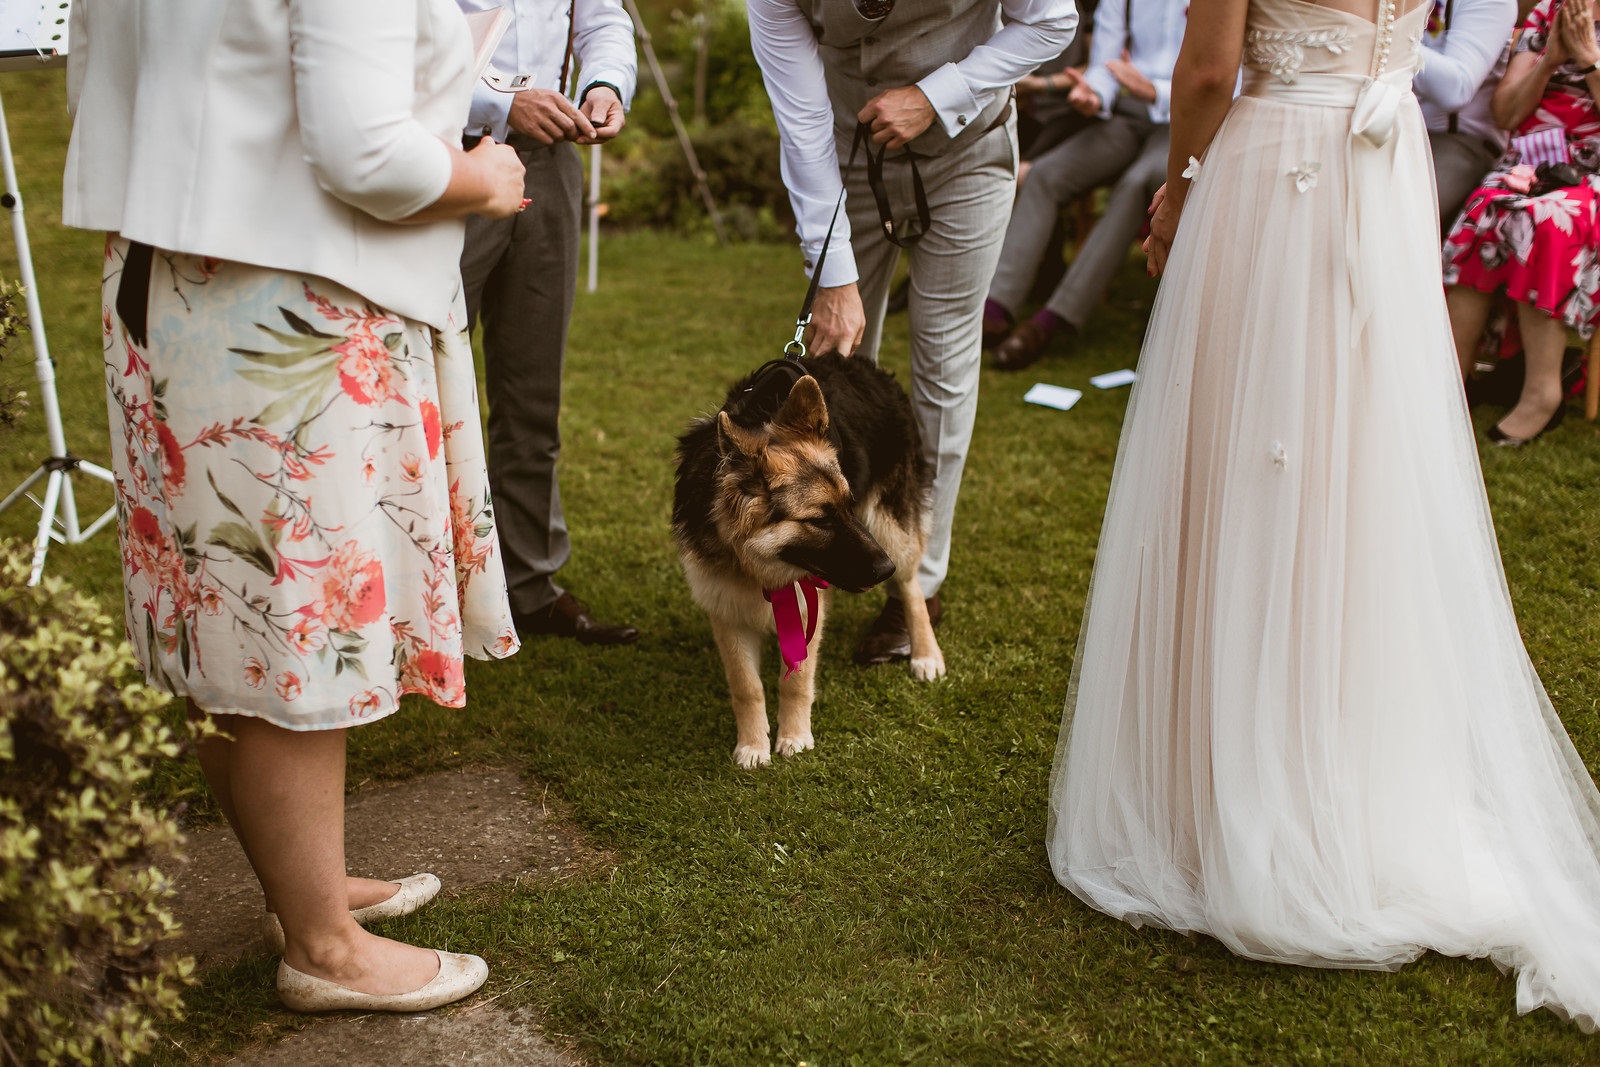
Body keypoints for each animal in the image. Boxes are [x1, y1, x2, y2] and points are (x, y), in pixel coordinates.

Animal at [672, 356, 940, 767]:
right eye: (820, 520)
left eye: (848, 506)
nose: (884, 570)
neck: (754, 564)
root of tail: (863, 365)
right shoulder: (727, 609)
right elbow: (746, 686)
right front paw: (753, 745)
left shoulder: (805, 602)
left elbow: (797, 680)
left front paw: (795, 736)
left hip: (891, 528)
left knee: (912, 589)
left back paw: (925, 653)